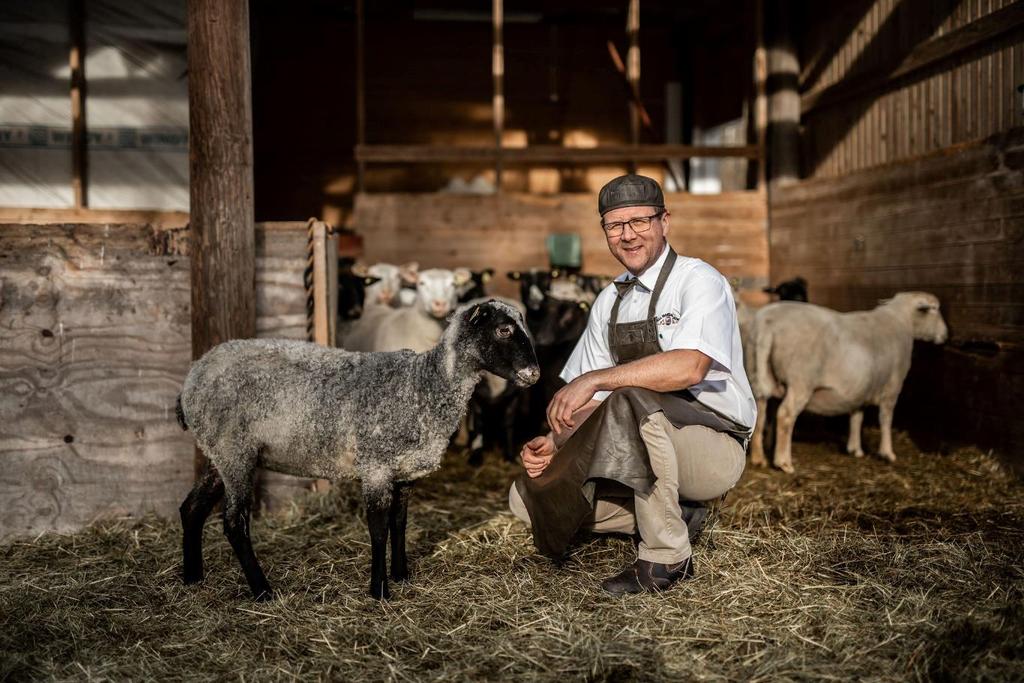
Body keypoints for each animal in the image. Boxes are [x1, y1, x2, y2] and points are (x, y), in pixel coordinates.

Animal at [176, 301, 544, 602]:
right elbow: (378, 529)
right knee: (234, 522)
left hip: (220, 454)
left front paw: (402, 575)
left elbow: (400, 523)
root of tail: (192, 377)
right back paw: (262, 590)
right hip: (234, 451)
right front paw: (379, 589)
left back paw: (193, 577)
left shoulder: (403, 472)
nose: (534, 374)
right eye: (503, 329)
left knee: (191, 508)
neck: (423, 386)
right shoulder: (376, 466)